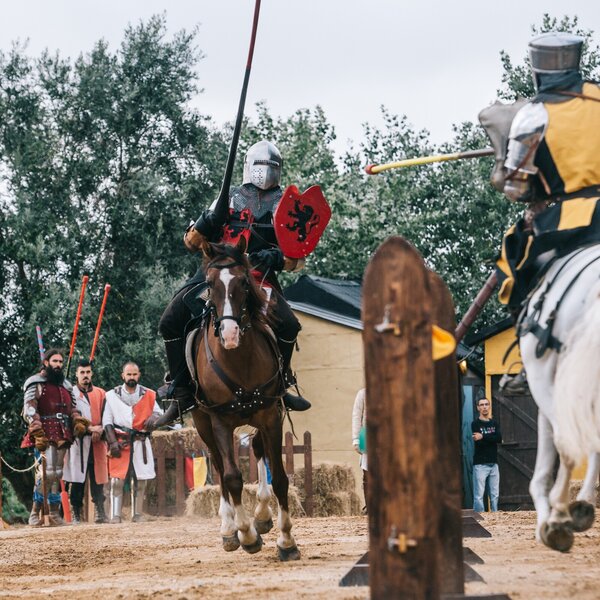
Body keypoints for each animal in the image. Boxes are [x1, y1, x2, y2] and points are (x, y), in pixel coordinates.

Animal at [191, 240, 300, 564]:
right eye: (210, 284)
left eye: (242, 282)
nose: (229, 334)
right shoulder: (219, 421)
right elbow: (232, 477)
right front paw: (245, 535)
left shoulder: (270, 416)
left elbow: (280, 478)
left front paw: (286, 541)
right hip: (203, 423)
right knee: (218, 463)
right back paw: (229, 529)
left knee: (258, 450)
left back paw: (262, 516)